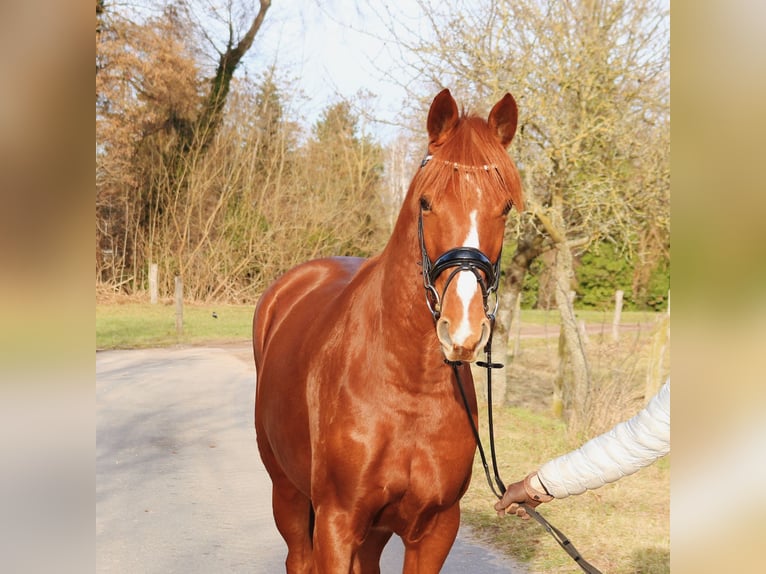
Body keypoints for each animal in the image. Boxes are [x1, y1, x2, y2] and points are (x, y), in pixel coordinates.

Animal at [255, 88, 524, 572]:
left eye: (505, 207)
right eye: (426, 202)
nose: (463, 327)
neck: (407, 389)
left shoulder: (435, 528)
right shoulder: (337, 523)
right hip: (287, 493)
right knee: (297, 557)